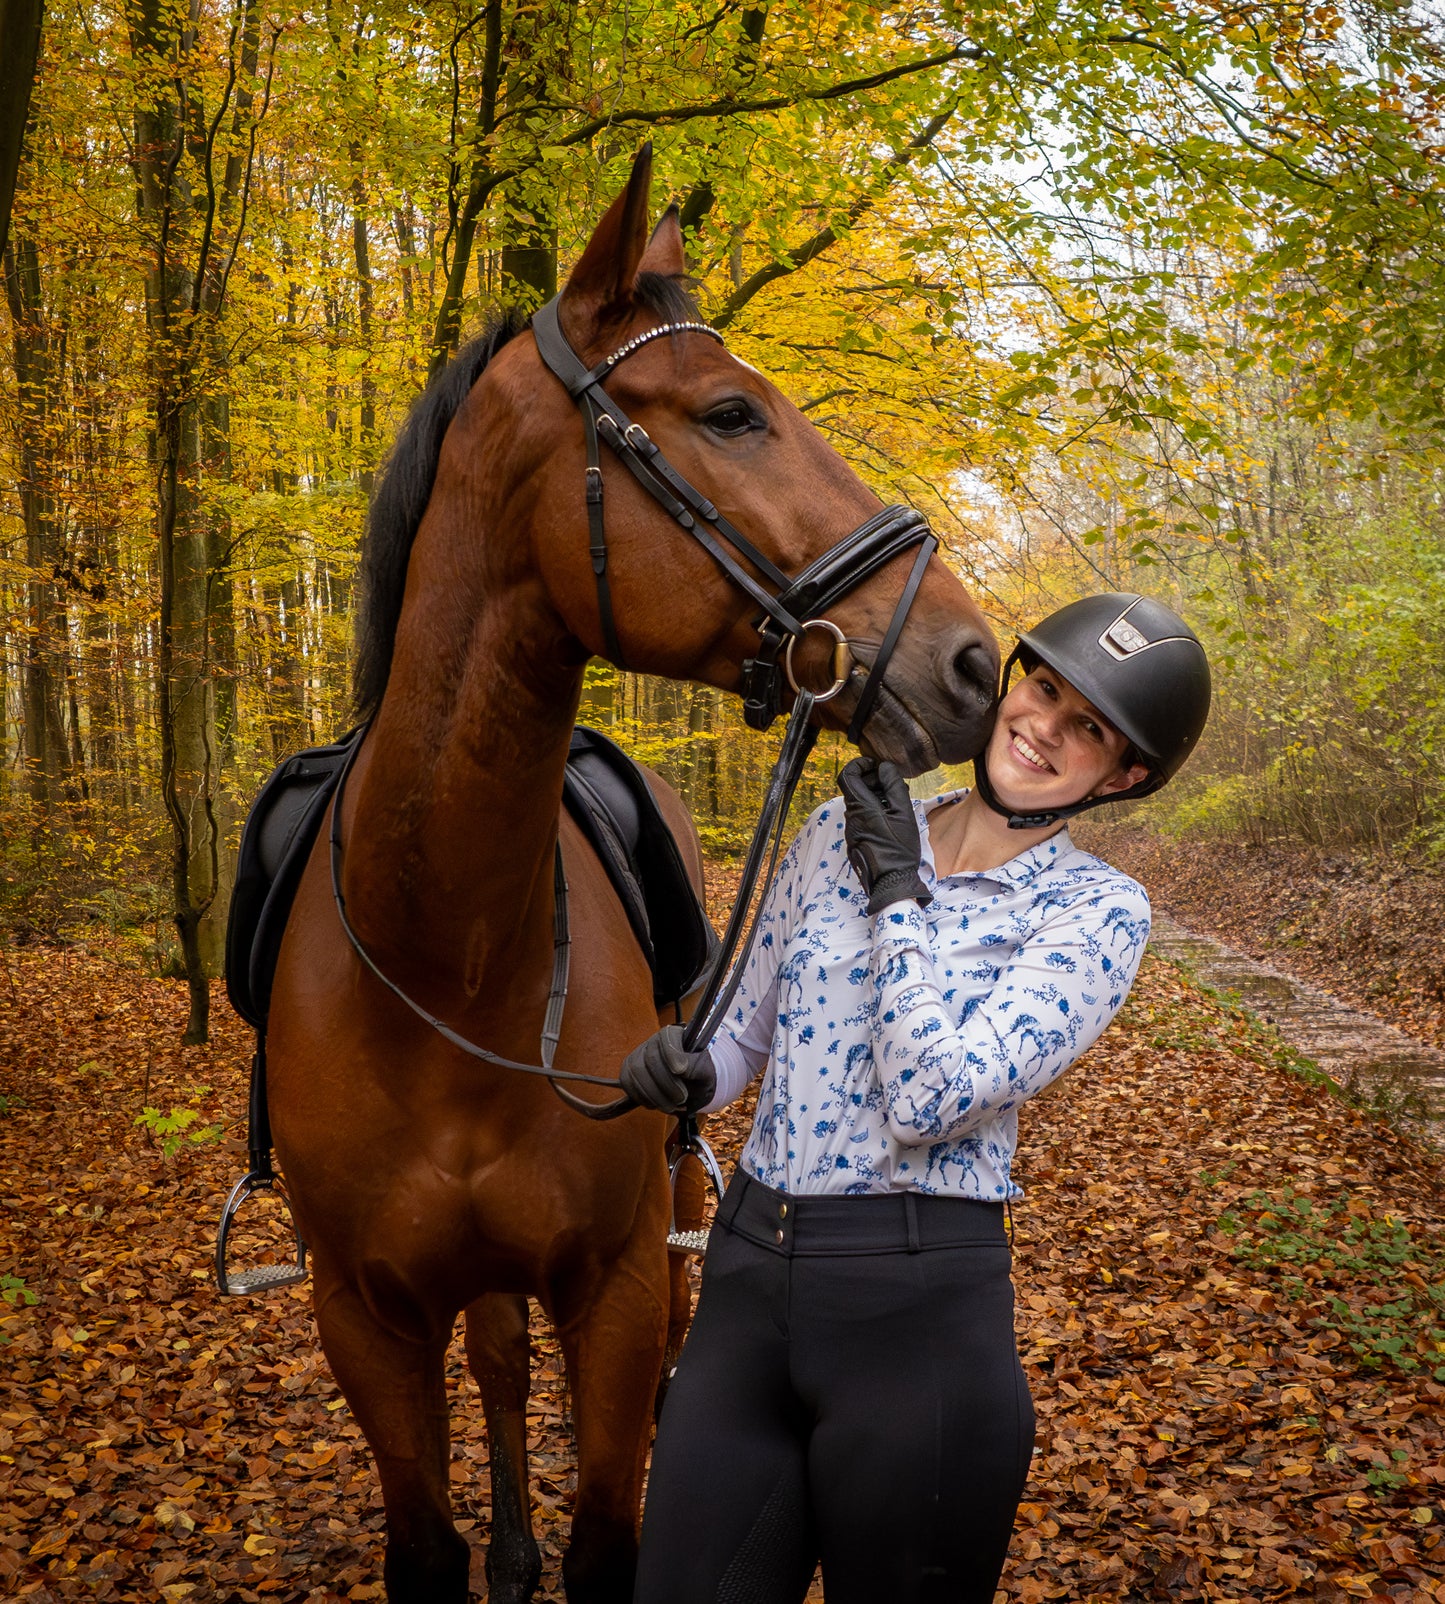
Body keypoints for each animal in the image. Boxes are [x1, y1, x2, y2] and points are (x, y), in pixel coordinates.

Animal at [264, 150, 1000, 1604]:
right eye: (728, 413)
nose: (969, 660)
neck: (442, 960)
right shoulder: (360, 1318)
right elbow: (427, 1535)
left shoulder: (610, 1290)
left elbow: (617, 1531)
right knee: (496, 1360)